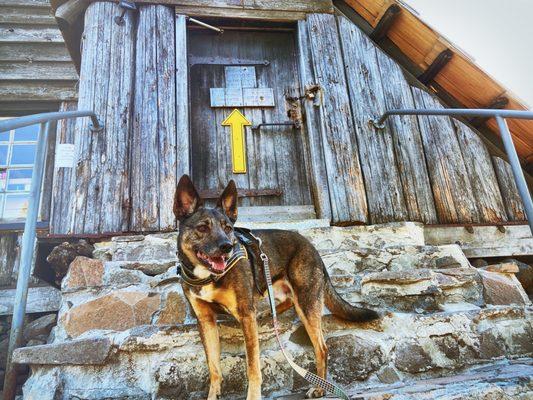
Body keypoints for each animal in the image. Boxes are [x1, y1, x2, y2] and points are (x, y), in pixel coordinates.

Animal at [175, 176, 378, 400]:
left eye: (228, 228)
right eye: (202, 228)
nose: (227, 246)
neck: (208, 276)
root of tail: (312, 247)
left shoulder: (246, 316)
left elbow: (253, 367)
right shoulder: (206, 321)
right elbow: (214, 369)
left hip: (306, 303)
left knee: (322, 347)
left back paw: (320, 388)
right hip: (278, 290)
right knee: (284, 302)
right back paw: (267, 313)